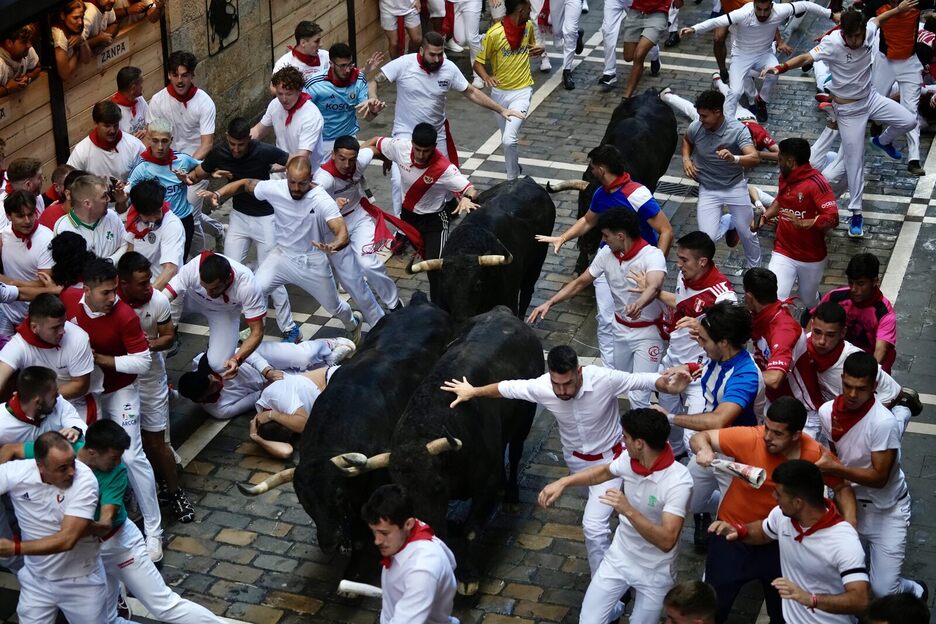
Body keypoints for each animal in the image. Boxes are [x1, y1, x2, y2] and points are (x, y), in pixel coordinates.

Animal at [408, 176, 556, 322]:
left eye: (477, 284)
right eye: (445, 285)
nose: (461, 319)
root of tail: (526, 179)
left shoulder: (510, 301)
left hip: (536, 263)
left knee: (527, 292)